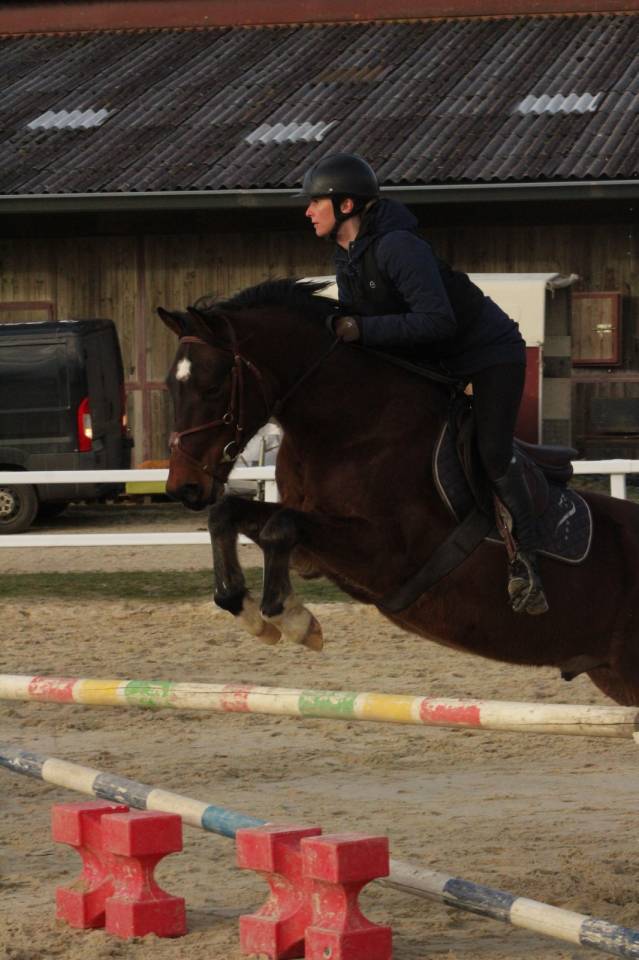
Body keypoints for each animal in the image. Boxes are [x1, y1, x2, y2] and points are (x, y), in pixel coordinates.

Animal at [159, 279, 639, 707]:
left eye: (213, 385)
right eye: (170, 386)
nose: (184, 486)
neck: (350, 430)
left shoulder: (388, 555)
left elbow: (280, 526)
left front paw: (293, 620)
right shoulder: (311, 552)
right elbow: (230, 515)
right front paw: (249, 611)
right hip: (613, 677)